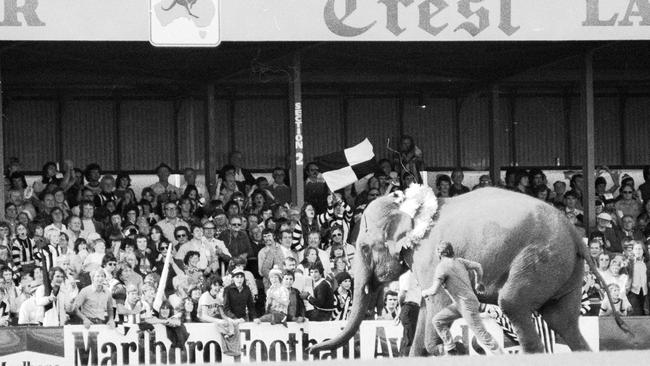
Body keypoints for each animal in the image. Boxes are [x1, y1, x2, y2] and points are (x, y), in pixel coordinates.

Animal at [312, 186, 624, 354]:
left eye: (365, 248)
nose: (311, 348)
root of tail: (575, 234)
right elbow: (425, 309)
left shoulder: (429, 254)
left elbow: (435, 302)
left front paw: (449, 349)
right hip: (565, 270)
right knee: (563, 321)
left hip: (541, 259)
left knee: (515, 305)